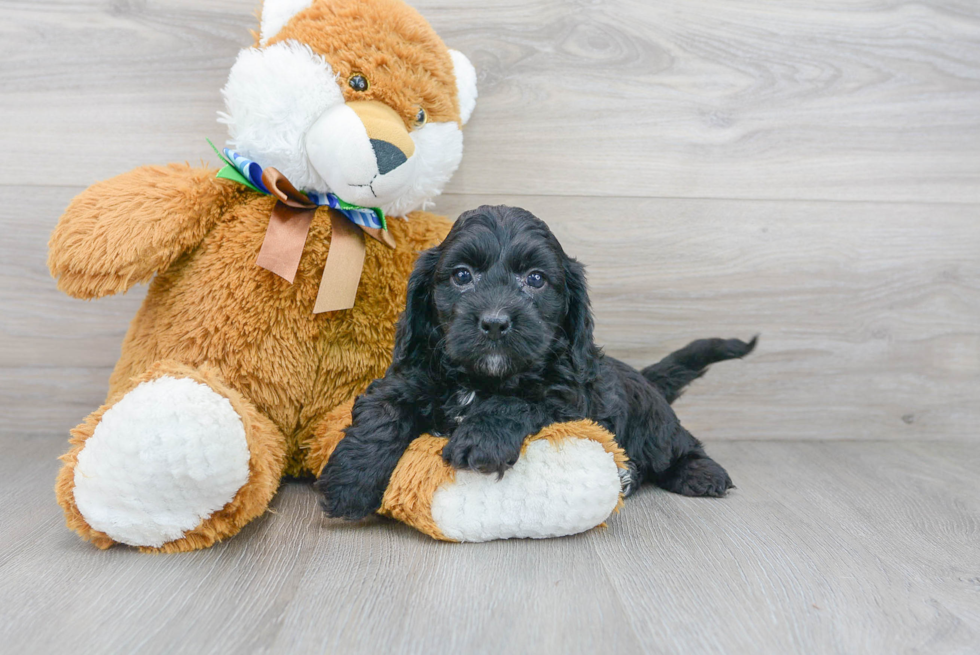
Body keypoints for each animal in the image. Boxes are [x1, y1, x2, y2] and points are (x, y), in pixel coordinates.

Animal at [318, 208, 756, 520]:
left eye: (535, 279)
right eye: (462, 275)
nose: (495, 322)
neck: (480, 379)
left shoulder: (567, 397)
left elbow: (518, 401)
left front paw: (482, 439)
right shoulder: (405, 380)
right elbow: (382, 414)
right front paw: (348, 483)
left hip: (653, 424)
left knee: (677, 444)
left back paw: (702, 474)